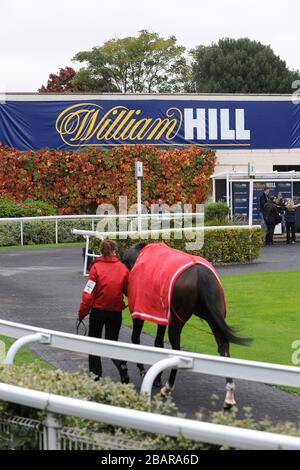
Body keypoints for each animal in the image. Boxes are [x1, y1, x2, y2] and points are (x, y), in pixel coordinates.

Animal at [122, 242, 251, 408]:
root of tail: (200, 273)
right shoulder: (162, 313)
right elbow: (158, 343)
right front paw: (156, 378)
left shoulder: (140, 309)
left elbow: (136, 339)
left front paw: (144, 371)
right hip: (214, 314)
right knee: (223, 346)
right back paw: (229, 395)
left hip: (179, 318)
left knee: (177, 349)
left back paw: (168, 388)